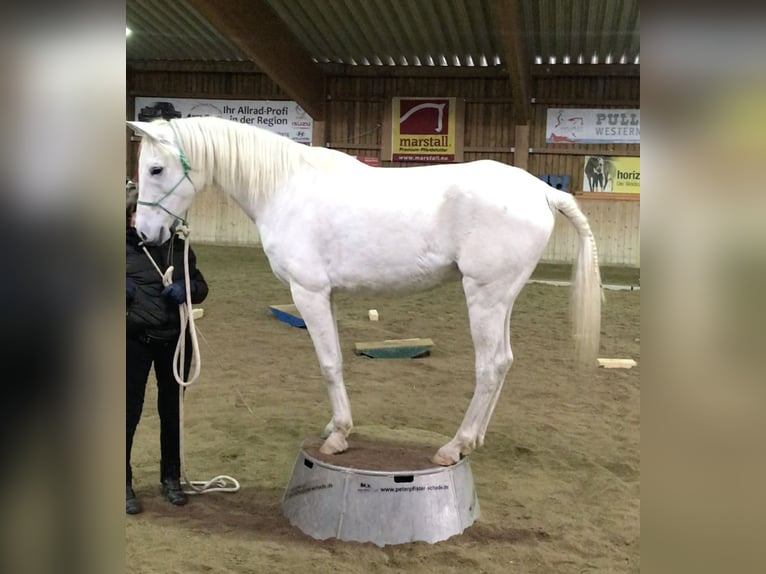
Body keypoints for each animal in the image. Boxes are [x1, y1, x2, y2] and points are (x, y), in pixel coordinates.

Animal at [127, 117, 608, 468]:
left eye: (156, 169)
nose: (145, 234)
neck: (285, 187)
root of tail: (542, 191)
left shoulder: (309, 293)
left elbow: (329, 364)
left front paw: (338, 435)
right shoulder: (327, 296)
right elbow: (335, 360)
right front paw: (334, 428)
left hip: (484, 296)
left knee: (489, 367)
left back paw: (455, 445)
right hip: (501, 297)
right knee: (504, 362)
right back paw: (476, 439)